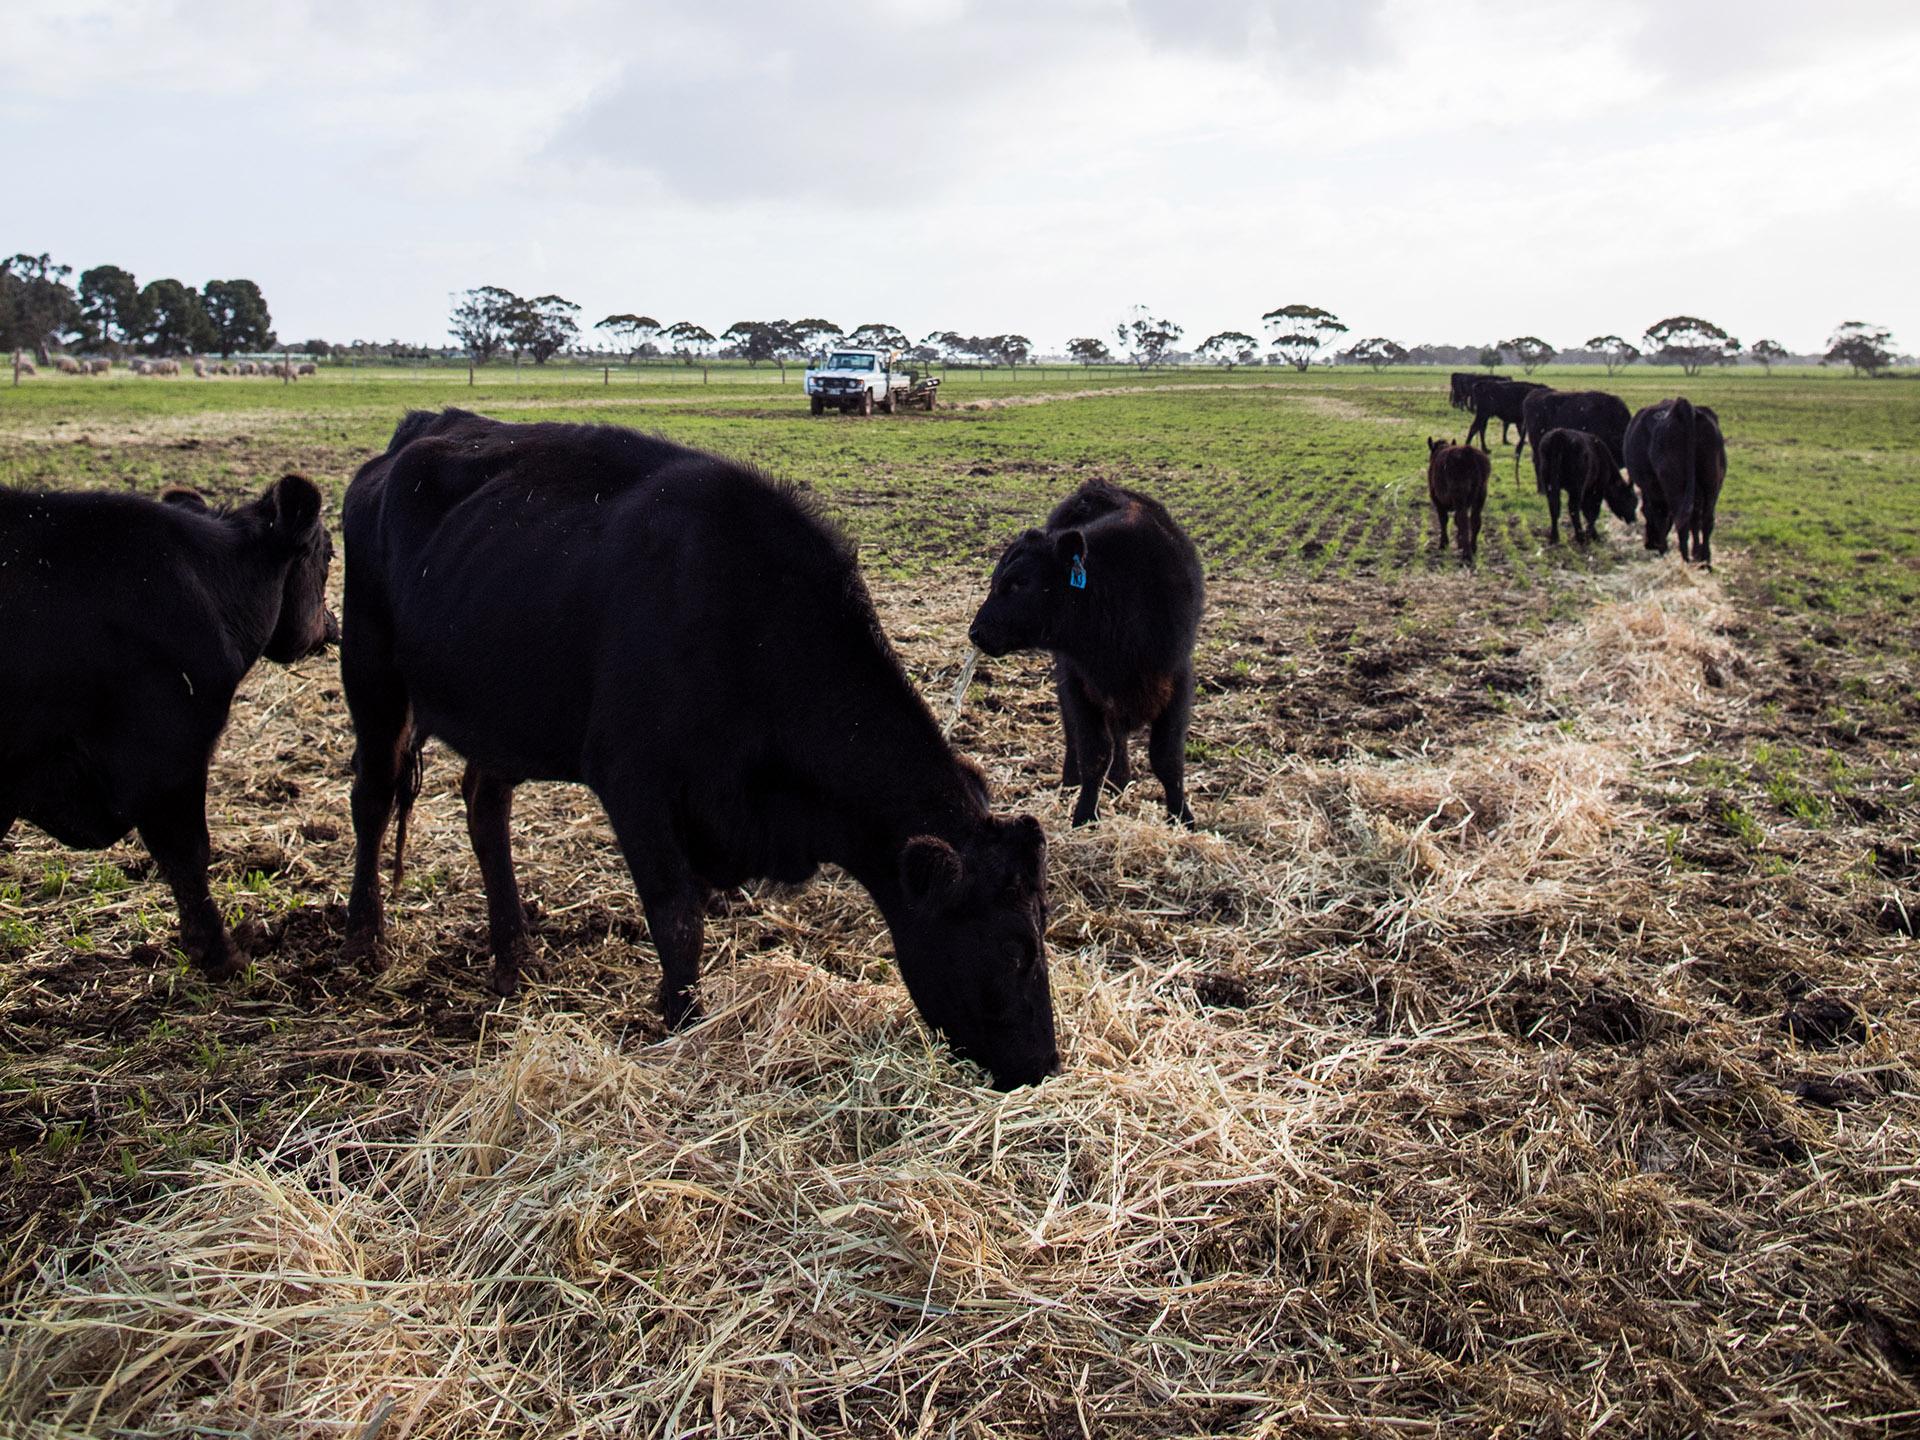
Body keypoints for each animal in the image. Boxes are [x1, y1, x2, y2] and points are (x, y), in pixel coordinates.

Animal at [339, 408, 1059, 1090]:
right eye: (1014, 947)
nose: (1044, 1065)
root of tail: (420, 431)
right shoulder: (634, 784)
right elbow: (678, 919)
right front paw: (685, 1024)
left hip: (498, 709)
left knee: (485, 808)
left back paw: (515, 953)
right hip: (373, 675)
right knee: (372, 798)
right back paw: (364, 939)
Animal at [968, 480, 1204, 829]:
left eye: (1020, 582)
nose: (976, 632)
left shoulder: (1177, 677)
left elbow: (1167, 757)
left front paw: (1181, 817)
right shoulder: (1078, 680)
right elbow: (1093, 752)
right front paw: (1084, 815)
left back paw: (1119, 780)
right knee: (1075, 732)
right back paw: (1073, 781)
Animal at [1625, 398, 1726, 566]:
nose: (1649, 544)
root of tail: (1683, 406)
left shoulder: (1653, 491)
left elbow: (1658, 516)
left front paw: (1663, 549)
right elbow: (1695, 521)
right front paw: (1696, 552)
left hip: (1675, 487)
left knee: (1681, 522)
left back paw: (1684, 561)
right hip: (1712, 484)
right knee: (1706, 520)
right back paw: (1705, 561)